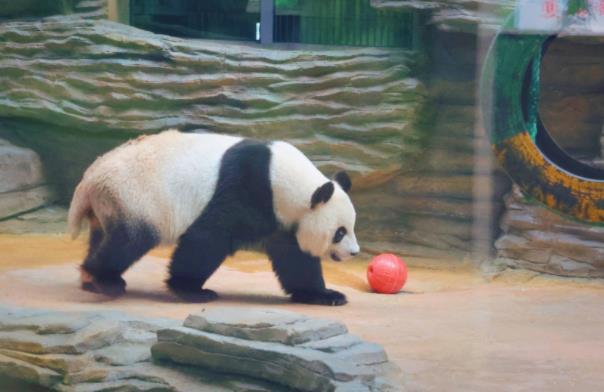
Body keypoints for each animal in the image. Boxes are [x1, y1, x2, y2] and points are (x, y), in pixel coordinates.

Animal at [67, 130, 358, 304]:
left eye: (350, 227)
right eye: (340, 232)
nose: (354, 253)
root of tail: (89, 180)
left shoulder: (283, 218)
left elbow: (294, 257)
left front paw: (325, 295)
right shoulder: (247, 186)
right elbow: (208, 238)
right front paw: (191, 290)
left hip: (111, 203)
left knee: (105, 236)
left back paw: (91, 279)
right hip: (136, 197)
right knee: (129, 241)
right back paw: (103, 279)